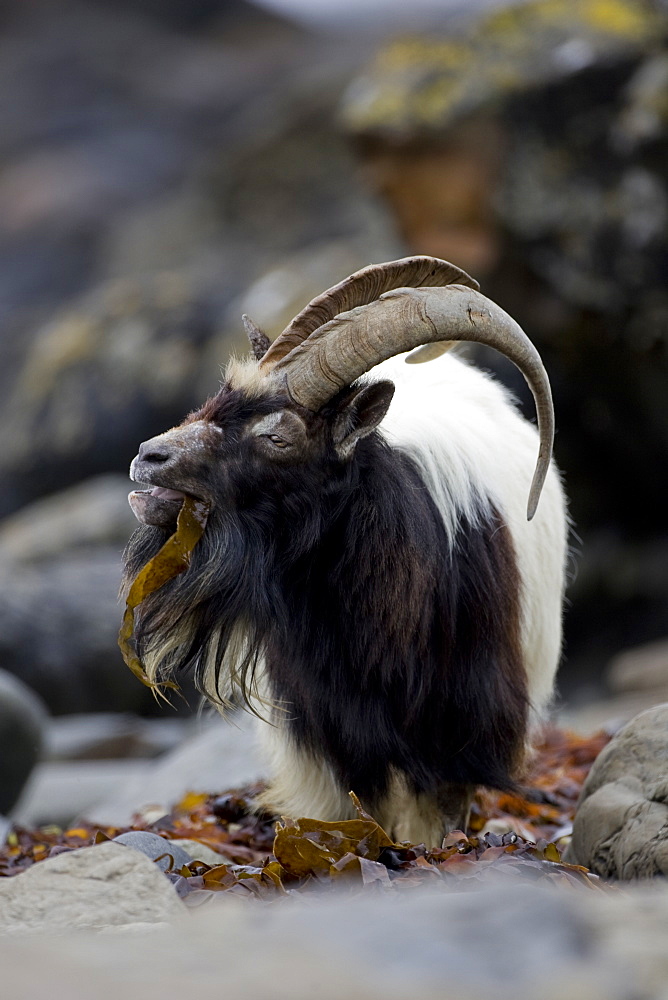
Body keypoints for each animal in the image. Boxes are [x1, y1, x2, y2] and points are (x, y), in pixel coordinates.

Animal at [122, 258, 568, 844]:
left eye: (279, 437)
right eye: (217, 397)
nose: (148, 456)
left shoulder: (462, 723)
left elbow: (438, 811)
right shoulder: (324, 727)